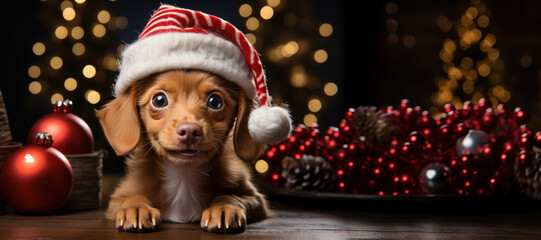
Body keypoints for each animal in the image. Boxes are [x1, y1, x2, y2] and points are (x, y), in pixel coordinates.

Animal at [97, 69, 268, 232]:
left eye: (215, 102)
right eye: (159, 100)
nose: (190, 131)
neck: (183, 176)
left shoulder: (256, 198)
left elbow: (231, 196)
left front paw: (225, 208)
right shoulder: (117, 198)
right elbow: (131, 197)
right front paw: (137, 208)